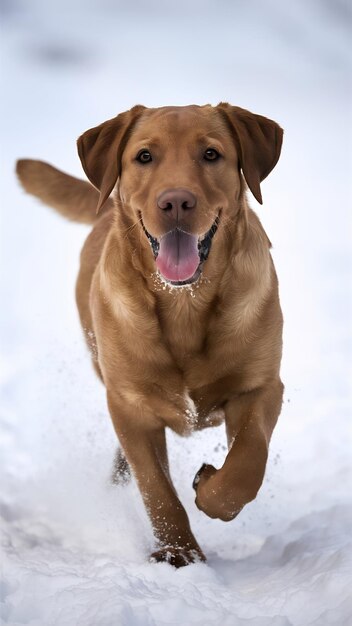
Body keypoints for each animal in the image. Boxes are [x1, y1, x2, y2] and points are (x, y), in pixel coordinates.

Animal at [17, 103, 286, 564]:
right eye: (144, 156)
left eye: (211, 154)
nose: (176, 201)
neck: (186, 305)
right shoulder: (130, 405)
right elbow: (157, 490)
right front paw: (180, 556)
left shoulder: (262, 386)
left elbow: (248, 462)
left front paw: (209, 488)